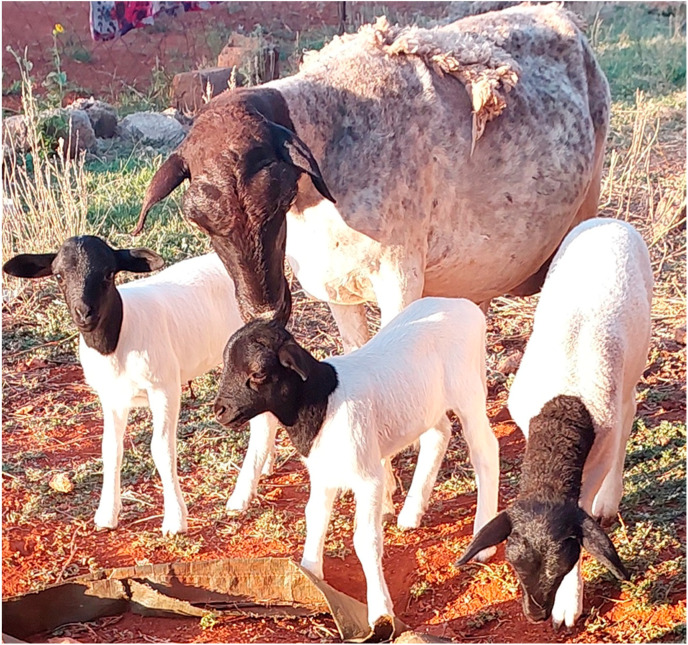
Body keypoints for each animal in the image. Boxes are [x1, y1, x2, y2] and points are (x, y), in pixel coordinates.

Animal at [3, 236, 279, 534]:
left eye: (109, 273)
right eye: (58, 275)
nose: (84, 314)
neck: (117, 340)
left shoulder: (164, 388)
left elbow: (161, 448)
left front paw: (175, 520)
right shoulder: (111, 397)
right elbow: (110, 449)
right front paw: (106, 515)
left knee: (263, 421)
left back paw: (241, 496)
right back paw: (264, 467)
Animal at [212, 297, 500, 629]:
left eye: (258, 372)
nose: (219, 411)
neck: (323, 402)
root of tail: (462, 304)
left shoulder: (368, 479)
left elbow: (366, 540)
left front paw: (380, 610)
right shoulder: (323, 474)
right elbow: (315, 517)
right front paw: (310, 575)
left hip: (468, 393)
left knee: (485, 451)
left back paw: (483, 539)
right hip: (425, 404)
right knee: (438, 434)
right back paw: (411, 512)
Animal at [458, 218, 652, 628]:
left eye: (563, 566)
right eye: (514, 564)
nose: (534, 615)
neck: (563, 409)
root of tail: (610, 221)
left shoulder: (599, 447)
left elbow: (583, 501)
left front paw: (568, 602)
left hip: (633, 366)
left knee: (629, 412)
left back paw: (610, 498)